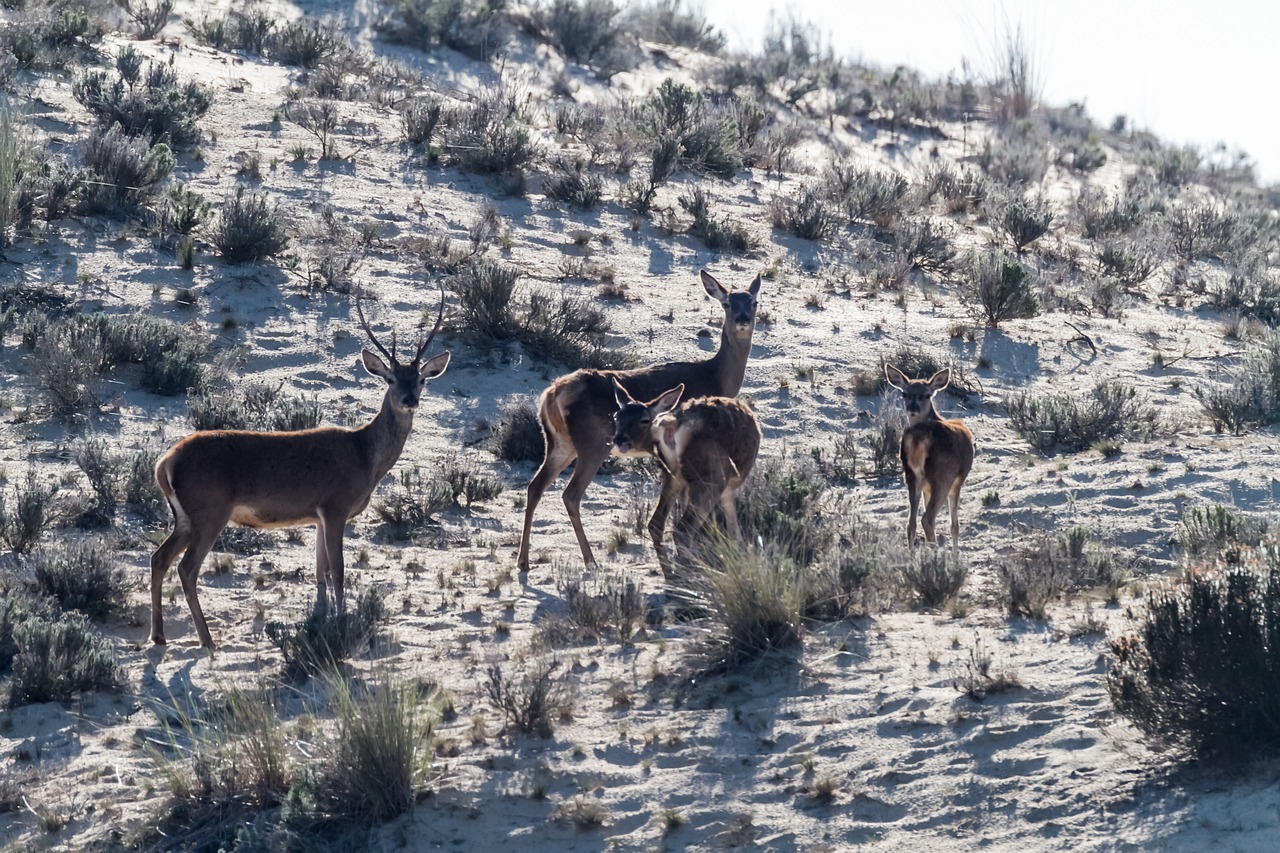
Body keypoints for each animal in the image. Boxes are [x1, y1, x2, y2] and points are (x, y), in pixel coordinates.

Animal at [150, 292, 453, 645]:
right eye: (390, 378)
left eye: (420, 379)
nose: (409, 399)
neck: (365, 456)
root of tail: (165, 463)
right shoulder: (335, 505)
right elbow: (339, 570)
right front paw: (342, 621)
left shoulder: (318, 515)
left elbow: (320, 571)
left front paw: (321, 619)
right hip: (209, 510)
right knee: (187, 568)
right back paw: (207, 640)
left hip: (186, 517)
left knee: (159, 558)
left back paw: (159, 636)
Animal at [609, 379, 757, 571]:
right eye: (617, 417)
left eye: (644, 419)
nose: (620, 439)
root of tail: (674, 424)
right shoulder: (728, 486)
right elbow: (734, 528)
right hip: (711, 477)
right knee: (683, 530)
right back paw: (694, 569)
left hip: (673, 473)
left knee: (656, 523)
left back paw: (671, 570)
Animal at [885, 361, 972, 548]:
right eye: (904, 393)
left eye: (926, 395)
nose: (912, 408)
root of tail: (918, 438)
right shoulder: (958, 481)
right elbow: (954, 525)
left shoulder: (926, 486)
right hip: (943, 475)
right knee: (927, 519)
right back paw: (935, 550)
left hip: (911, 475)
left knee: (911, 522)